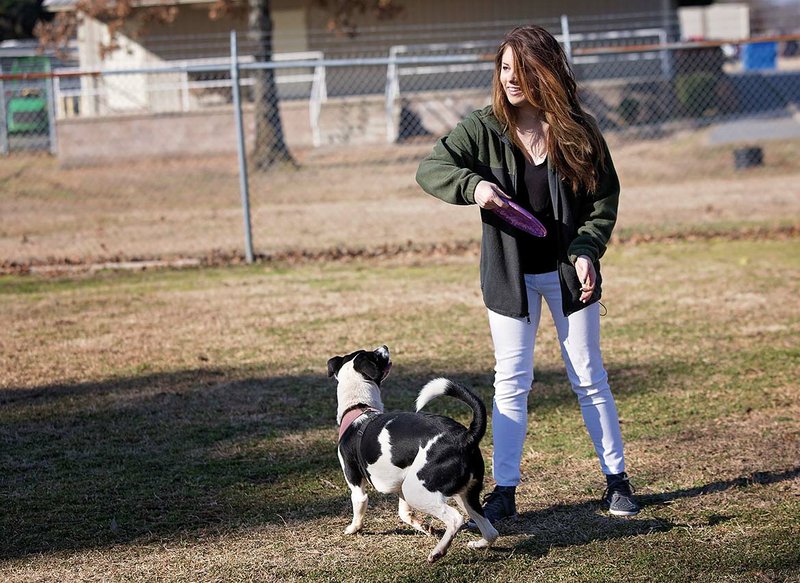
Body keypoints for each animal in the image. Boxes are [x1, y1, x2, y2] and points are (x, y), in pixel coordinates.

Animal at [328, 344, 496, 564]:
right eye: (375, 355)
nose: (384, 346)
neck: (359, 408)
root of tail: (466, 436)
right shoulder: (400, 487)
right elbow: (404, 514)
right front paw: (423, 527)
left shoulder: (356, 484)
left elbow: (359, 507)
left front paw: (352, 529)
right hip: (464, 493)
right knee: (490, 531)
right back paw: (478, 544)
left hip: (419, 490)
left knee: (455, 519)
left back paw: (438, 551)